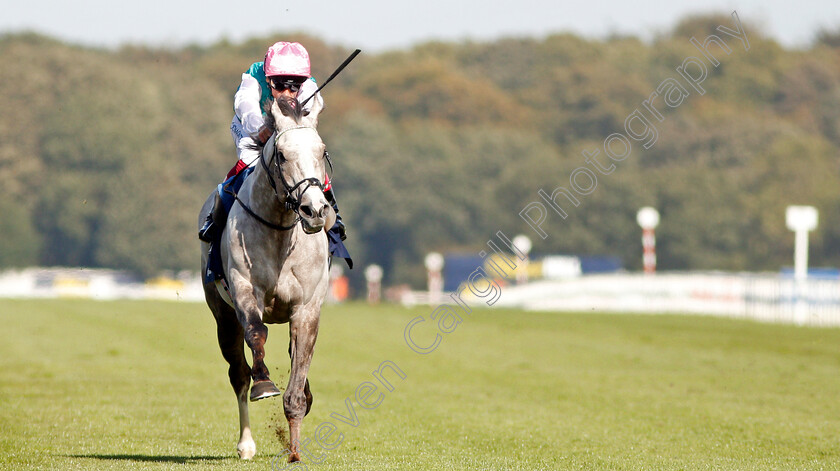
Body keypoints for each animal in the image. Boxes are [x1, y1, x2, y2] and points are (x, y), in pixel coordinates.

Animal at [199, 97, 332, 462]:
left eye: (322, 151)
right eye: (283, 155)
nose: (315, 210)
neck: (280, 232)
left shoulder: (306, 309)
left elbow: (300, 369)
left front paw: (295, 451)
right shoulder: (245, 292)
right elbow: (256, 334)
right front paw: (264, 384)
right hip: (222, 316)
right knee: (237, 374)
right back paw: (245, 443)